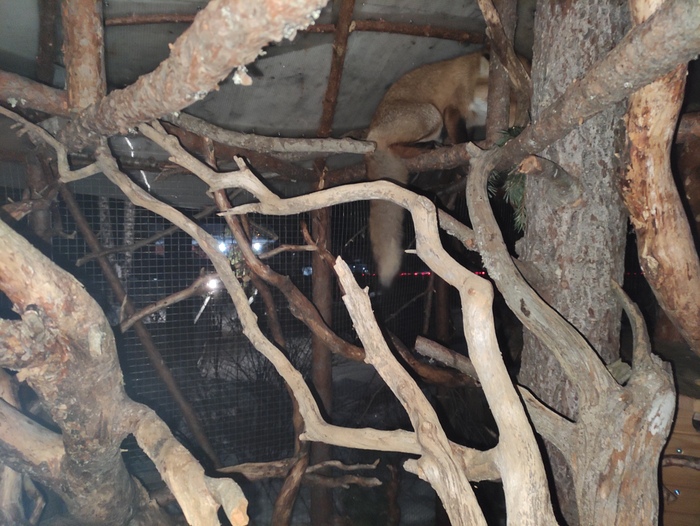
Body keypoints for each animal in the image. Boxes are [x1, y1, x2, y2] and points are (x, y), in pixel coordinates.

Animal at [366, 52, 490, 288]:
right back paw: (426, 148)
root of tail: (371, 136)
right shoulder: (454, 109)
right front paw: (465, 162)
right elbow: (461, 140)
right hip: (431, 116)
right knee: (395, 145)